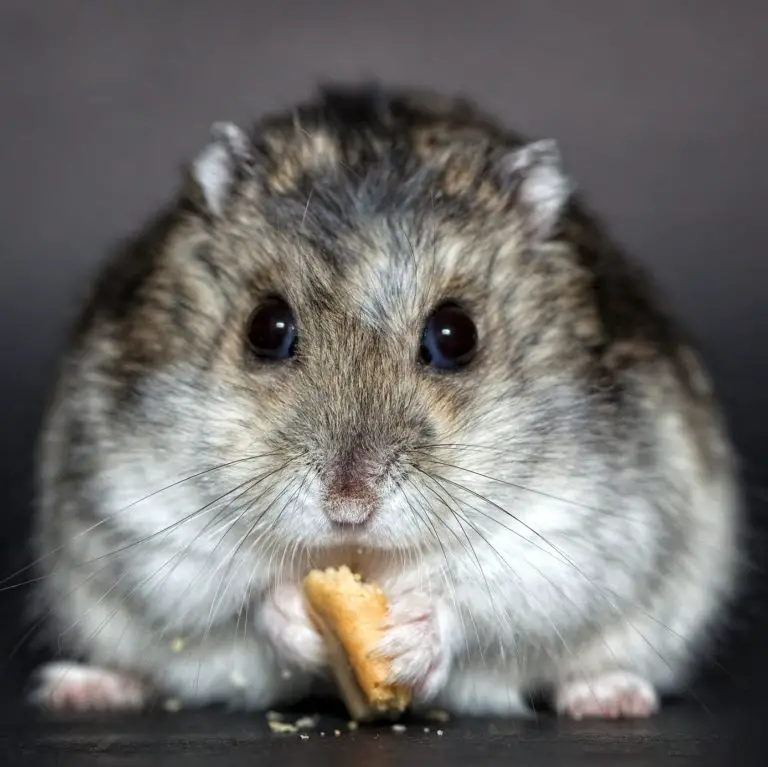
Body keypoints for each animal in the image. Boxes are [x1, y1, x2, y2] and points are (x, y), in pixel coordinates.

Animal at [28, 85, 742, 718]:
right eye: (266, 328)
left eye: (456, 336)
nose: (349, 507)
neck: (362, 556)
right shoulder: (143, 514)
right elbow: (234, 596)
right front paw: (295, 615)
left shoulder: (578, 528)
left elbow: (484, 599)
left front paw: (408, 638)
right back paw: (81, 688)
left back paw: (609, 698)